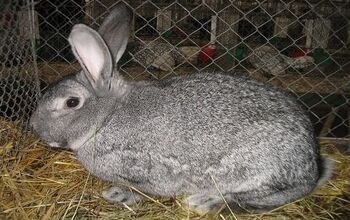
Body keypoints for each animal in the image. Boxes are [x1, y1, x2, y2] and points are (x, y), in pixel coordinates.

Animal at [29, 2, 330, 214]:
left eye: (71, 102)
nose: (33, 126)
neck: (106, 119)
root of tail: (311, 165)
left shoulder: (145, 171)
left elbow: (144, 190)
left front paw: (118, 195)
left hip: (257, 170)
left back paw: (204, 202)